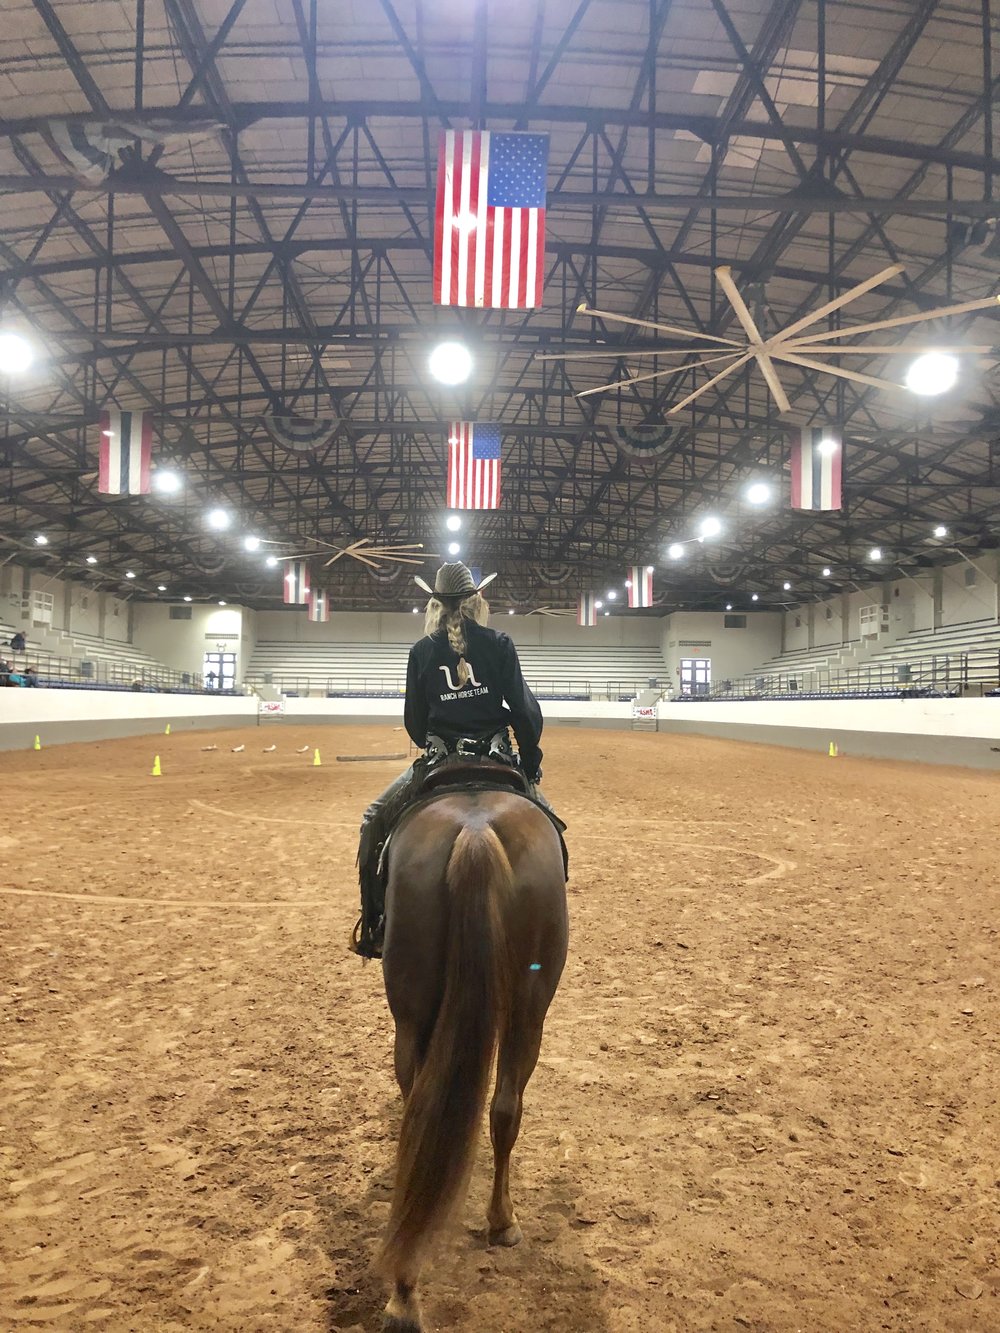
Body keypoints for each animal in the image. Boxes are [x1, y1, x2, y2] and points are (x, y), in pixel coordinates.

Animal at [376, 783, 568, 1327]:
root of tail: (477, 831)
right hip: (529, 1008)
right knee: (505, 1108)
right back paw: (500, 1223)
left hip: (413, 1016)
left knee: (420, 1111)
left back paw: (406, 1291)